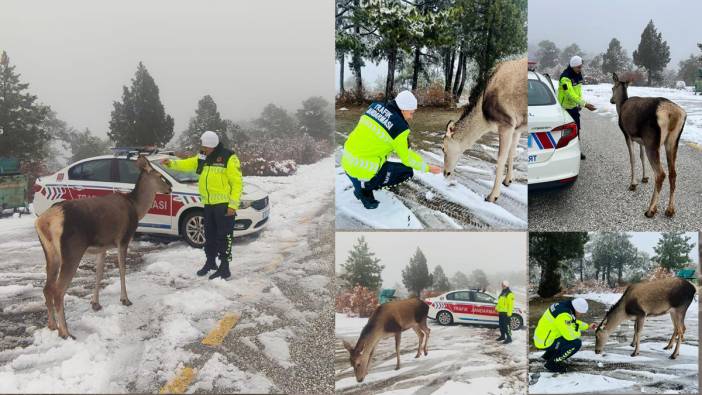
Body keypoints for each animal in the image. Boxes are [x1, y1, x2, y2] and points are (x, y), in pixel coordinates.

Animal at [35, 156, 172, 338]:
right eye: (160, 176)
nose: (170, 188)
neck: (136, 207)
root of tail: (45, 221)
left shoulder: (102, 247)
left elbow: (99, 273)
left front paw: (95, 303)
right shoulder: (123, 239)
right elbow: (122, 270)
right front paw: (125, 299)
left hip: (50, 253)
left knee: (47, 288)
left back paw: (52, 325)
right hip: (72, 250)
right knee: (58, 290)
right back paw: (65, 332)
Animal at [442, 57, 524, 203]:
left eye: (443, 148)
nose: (445, 173)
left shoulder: (507, 123)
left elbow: (501, 157)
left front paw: (492, 196)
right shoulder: (517, 127)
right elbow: (512, 152)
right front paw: (508, 181)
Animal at [612, 72, 692, 218]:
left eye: (612, 88)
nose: (611, 100)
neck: (621, 105)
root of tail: (673, 113)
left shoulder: (627, 134)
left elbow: (632, 158)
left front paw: (633, 184)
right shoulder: (641, 140)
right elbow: (641, 157)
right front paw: (644, 178)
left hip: (652, 141)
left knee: (660, 174)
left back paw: (651, 209)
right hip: (672, 141)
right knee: (673, 173)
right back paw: (670, 209)